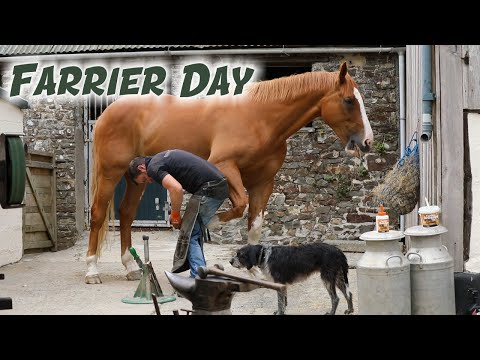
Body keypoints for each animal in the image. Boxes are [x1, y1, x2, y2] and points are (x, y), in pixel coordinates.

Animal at [86, 62, 374, 284]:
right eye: (349, 100)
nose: (367, 141)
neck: (259, 118)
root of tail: (108, 111)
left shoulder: (263, 182)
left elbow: (254, 224)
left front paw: (255, 269)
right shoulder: (225, 167)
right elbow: (239, 205)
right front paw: (211, 225)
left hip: (137, 178)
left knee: (126, 214)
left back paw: (130, 267)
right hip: (110, 173)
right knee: (98, 215)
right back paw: (92, 270)